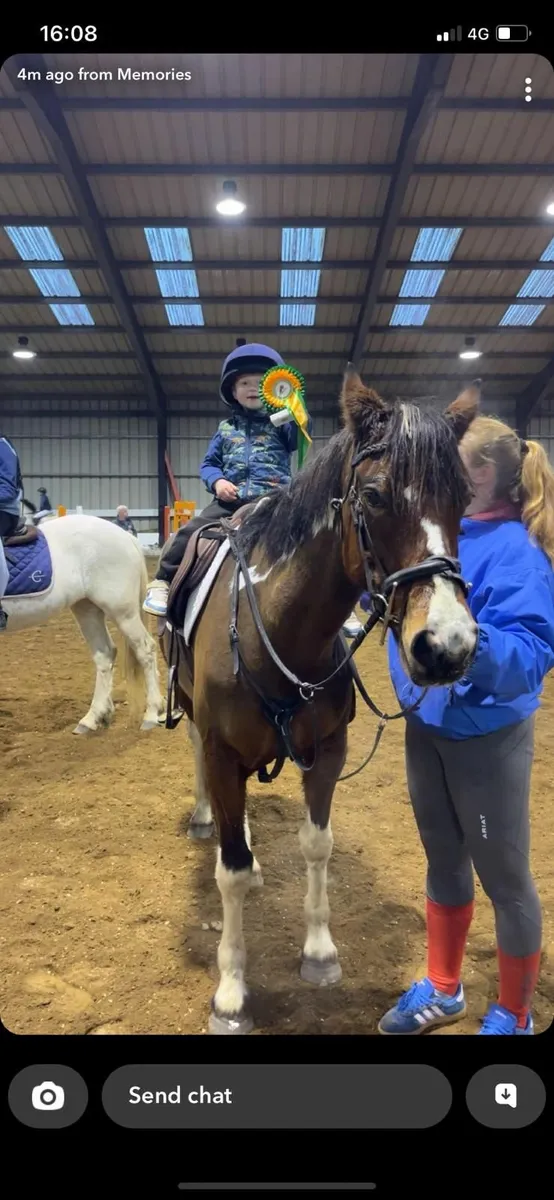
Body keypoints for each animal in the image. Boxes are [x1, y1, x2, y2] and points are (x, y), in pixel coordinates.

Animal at [1, 513, 164, 734]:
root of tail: (124, 535)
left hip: (123, 612)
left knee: (145, 650)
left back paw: (152, 714)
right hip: (86, 608)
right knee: (105, 654)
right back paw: (92, 718)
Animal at [161, 369, 481, 1035]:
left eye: (464, 498)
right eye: (376, 496)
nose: (448, 645)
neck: (279, 629)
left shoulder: (328, 751)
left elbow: (317, 844)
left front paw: (319, 952)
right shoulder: (223, 750)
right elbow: (229, 873)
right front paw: (231, 992)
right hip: (195, 719)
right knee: (203, 774)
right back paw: (209, 820)